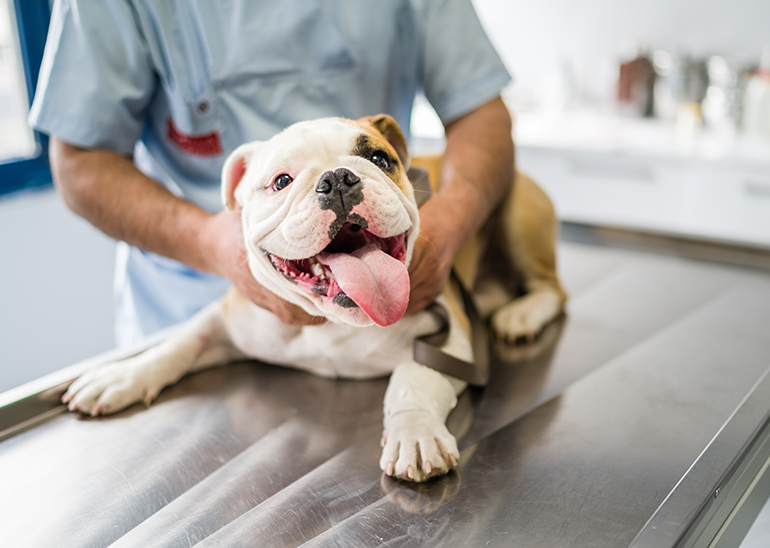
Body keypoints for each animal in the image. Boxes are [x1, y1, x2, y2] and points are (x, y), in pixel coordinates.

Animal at [63, 114, 564, 480]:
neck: (333, 321)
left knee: (553, 288)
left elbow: (413, 378)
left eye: (379, 159)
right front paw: (124, 374)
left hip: (517, 213)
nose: (338, 178)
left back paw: (522, 315)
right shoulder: (229, 319)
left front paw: (414, 432)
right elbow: (181, 342)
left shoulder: (449, 333)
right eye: (281, 181)